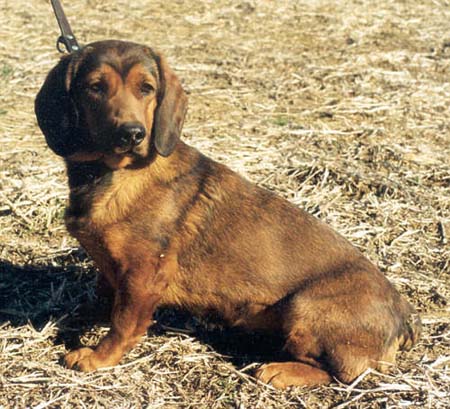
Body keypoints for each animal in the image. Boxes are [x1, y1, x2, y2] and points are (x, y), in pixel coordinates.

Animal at [34, 39, 418, 388]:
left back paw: (279, 370)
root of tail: (403, 318)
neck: (114, 173)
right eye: (95, 87)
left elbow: (124, 323)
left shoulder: (143, 274)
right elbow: (102, 299)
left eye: (147, 88)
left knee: (343, 374)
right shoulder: (111, 268)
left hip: (303, 307)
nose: (131, 134)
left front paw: (98, 357)